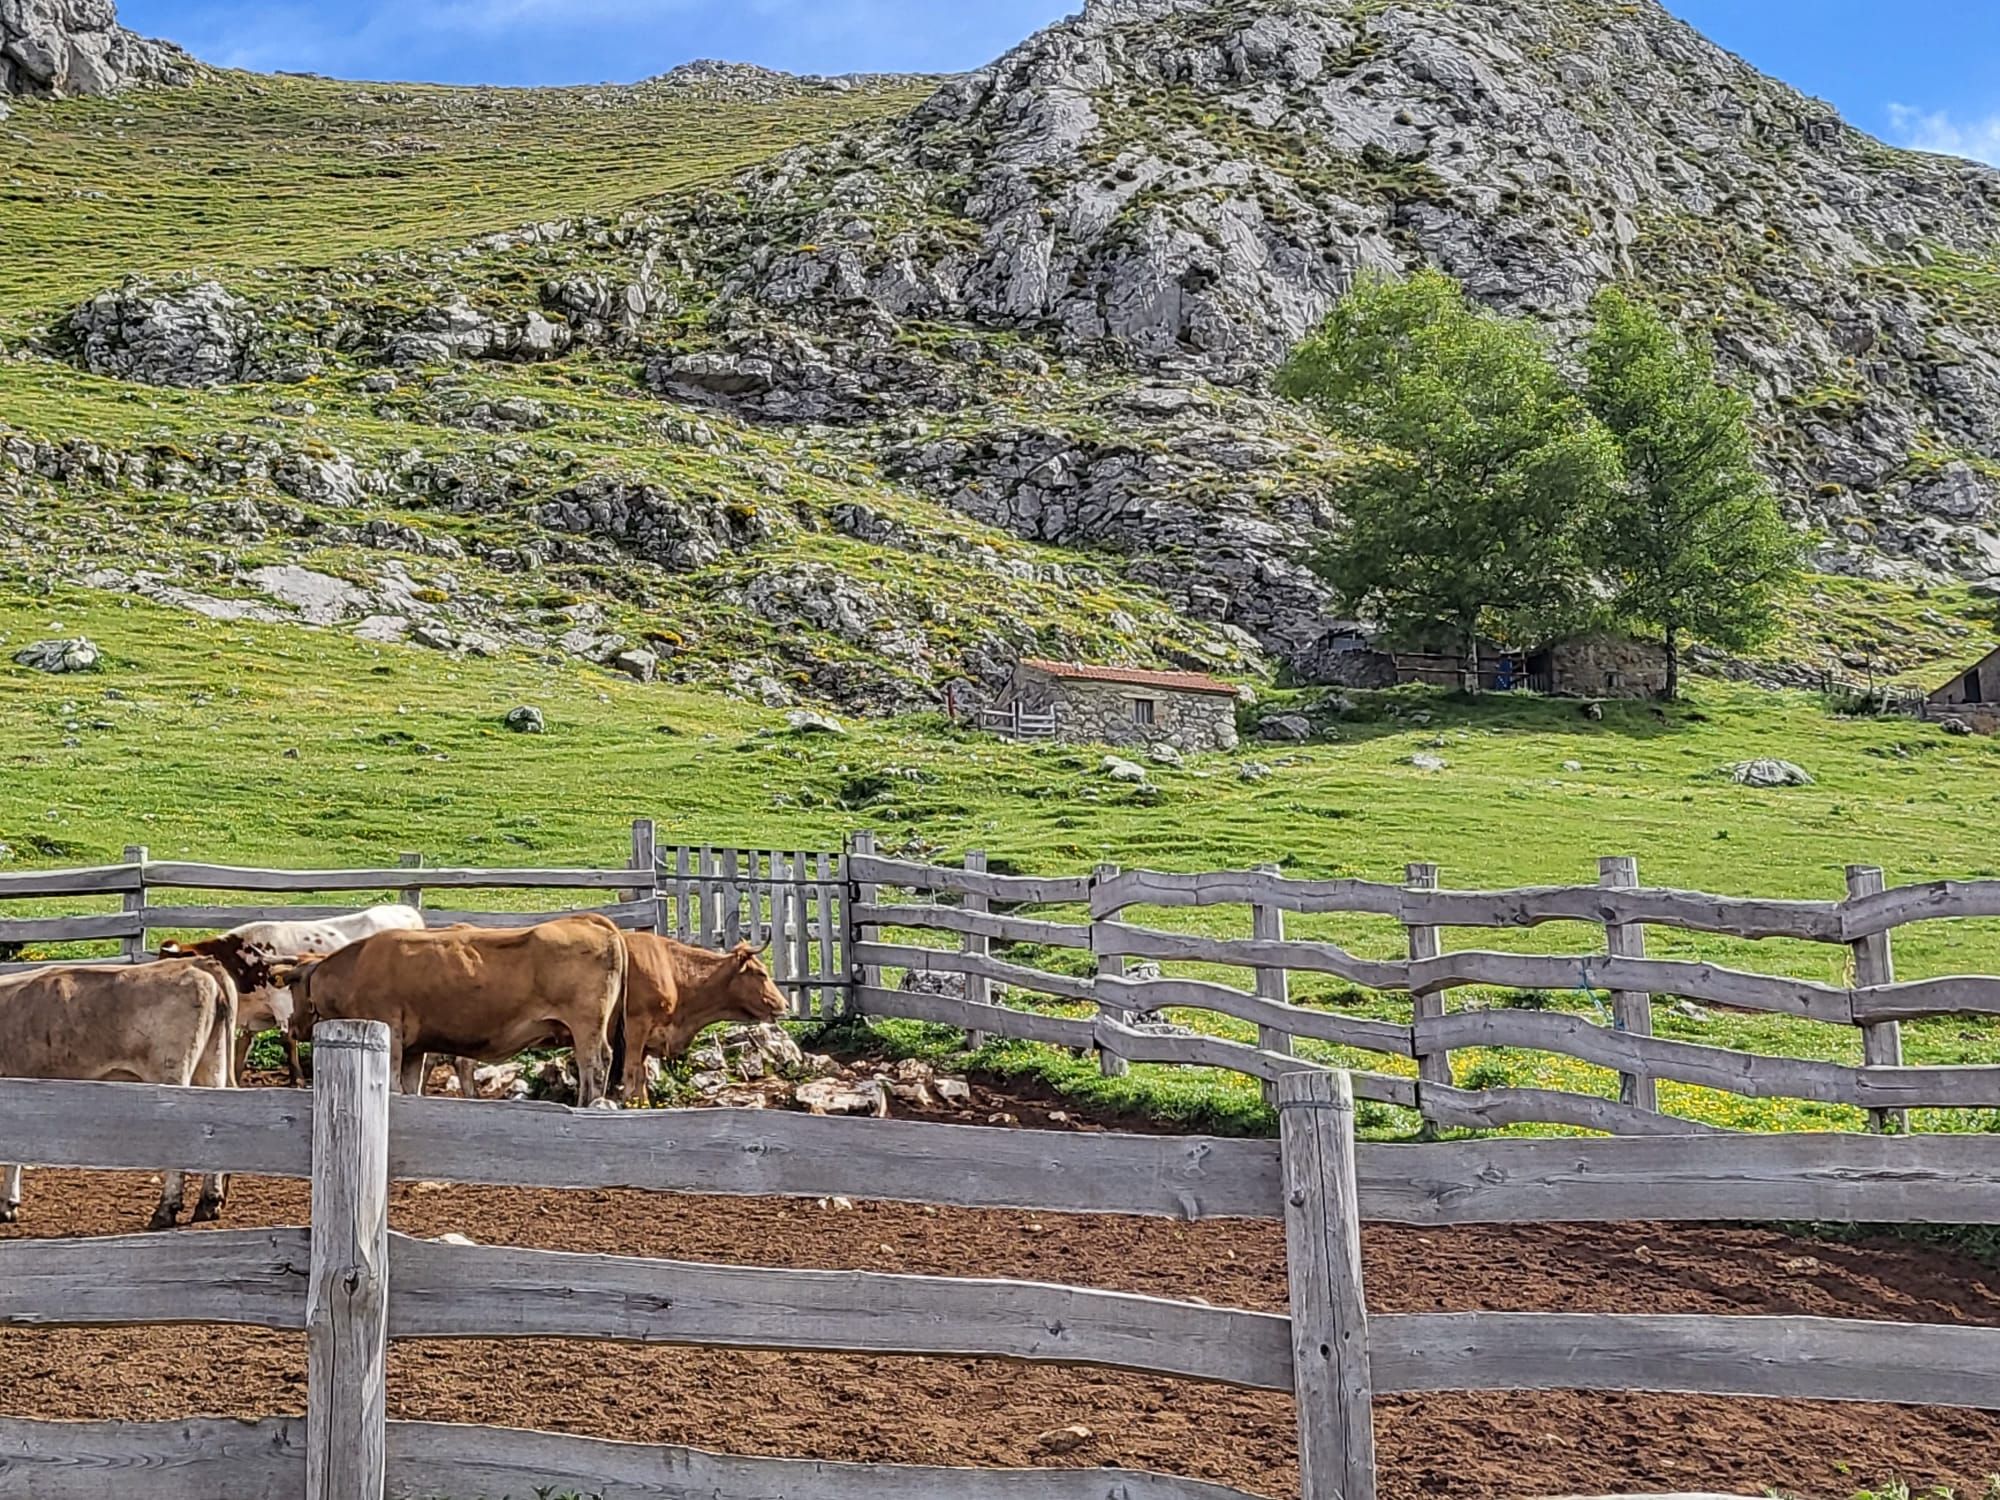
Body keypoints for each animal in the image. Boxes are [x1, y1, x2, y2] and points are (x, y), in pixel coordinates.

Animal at [282, 916, 624, 1104]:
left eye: (292, 987)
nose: (292, 1025)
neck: (356, 968)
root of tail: (588, 921)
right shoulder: (414, 1048)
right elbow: (410, 1087)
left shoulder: (391, 1035)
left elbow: (392, 1084)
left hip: (586, 1026)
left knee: (593, 1064)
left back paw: (586, 1103)